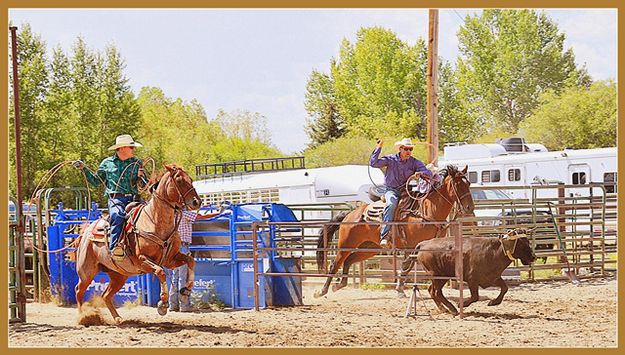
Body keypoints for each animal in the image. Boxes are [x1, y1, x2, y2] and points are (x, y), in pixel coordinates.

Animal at [73, 165, 201, 324]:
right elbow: (160, 272)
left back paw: (117, 318)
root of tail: (86, 231)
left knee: (106, 295)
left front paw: (185, 291)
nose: (197, 202)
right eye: (179, 180)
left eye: (191, 179)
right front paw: (163, 304)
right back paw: (84, 317)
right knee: (79, 290)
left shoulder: (170, 260)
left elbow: (190, 261)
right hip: (86, 271)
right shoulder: (142, 260)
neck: (154, 220)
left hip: (119, 275)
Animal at [314, 165, 470, 298]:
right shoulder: (411, 246)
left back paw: (339, 284)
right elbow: (406, 265)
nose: (469, 207)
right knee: (335, 264)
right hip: (346, 244)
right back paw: (322, 291)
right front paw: (400, 290)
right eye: (458, 184)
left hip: (369, 248)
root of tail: (350, 214)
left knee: (348, 261)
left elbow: (412, 266)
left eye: (468, 183)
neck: (427, 210)